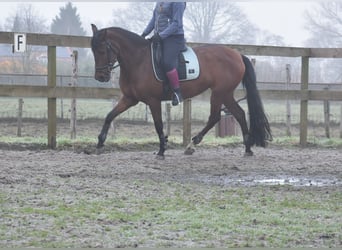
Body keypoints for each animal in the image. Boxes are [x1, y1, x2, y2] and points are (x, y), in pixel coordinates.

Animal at [91, 24, 272, 158]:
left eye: (102, 50)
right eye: (93, 51)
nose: (100, 76)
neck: (138, 60)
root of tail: (237, 54)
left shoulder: (153, 100)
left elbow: (158, 125)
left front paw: (162, 150)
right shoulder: (129, 99)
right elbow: (109, 116)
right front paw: (99, 143)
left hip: (219, 93)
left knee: (216, 116)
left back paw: (193, 144)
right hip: (225, 94)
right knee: (238, 114)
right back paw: (247, 148)